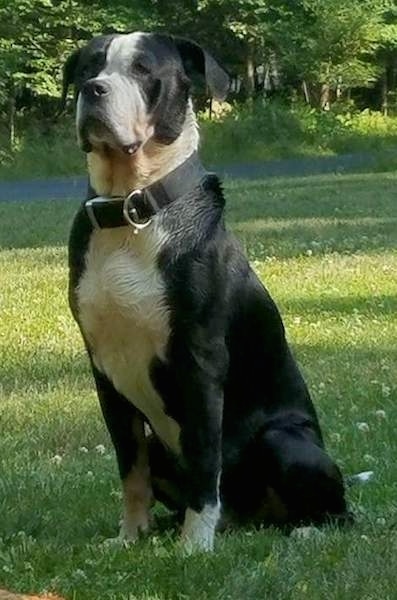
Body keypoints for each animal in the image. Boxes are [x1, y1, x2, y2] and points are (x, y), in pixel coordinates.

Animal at [62, 30, 350, 552]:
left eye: (142, 69)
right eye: (89, 66)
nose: (93, 90)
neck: (132, 213)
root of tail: (251, 517)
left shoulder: (198, 360)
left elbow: (202, 456)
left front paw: (195, 544)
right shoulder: (105, 371)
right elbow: (130, 468)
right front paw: (130, 535)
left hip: (286, 443)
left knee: (339, 512)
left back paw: (305, 531)